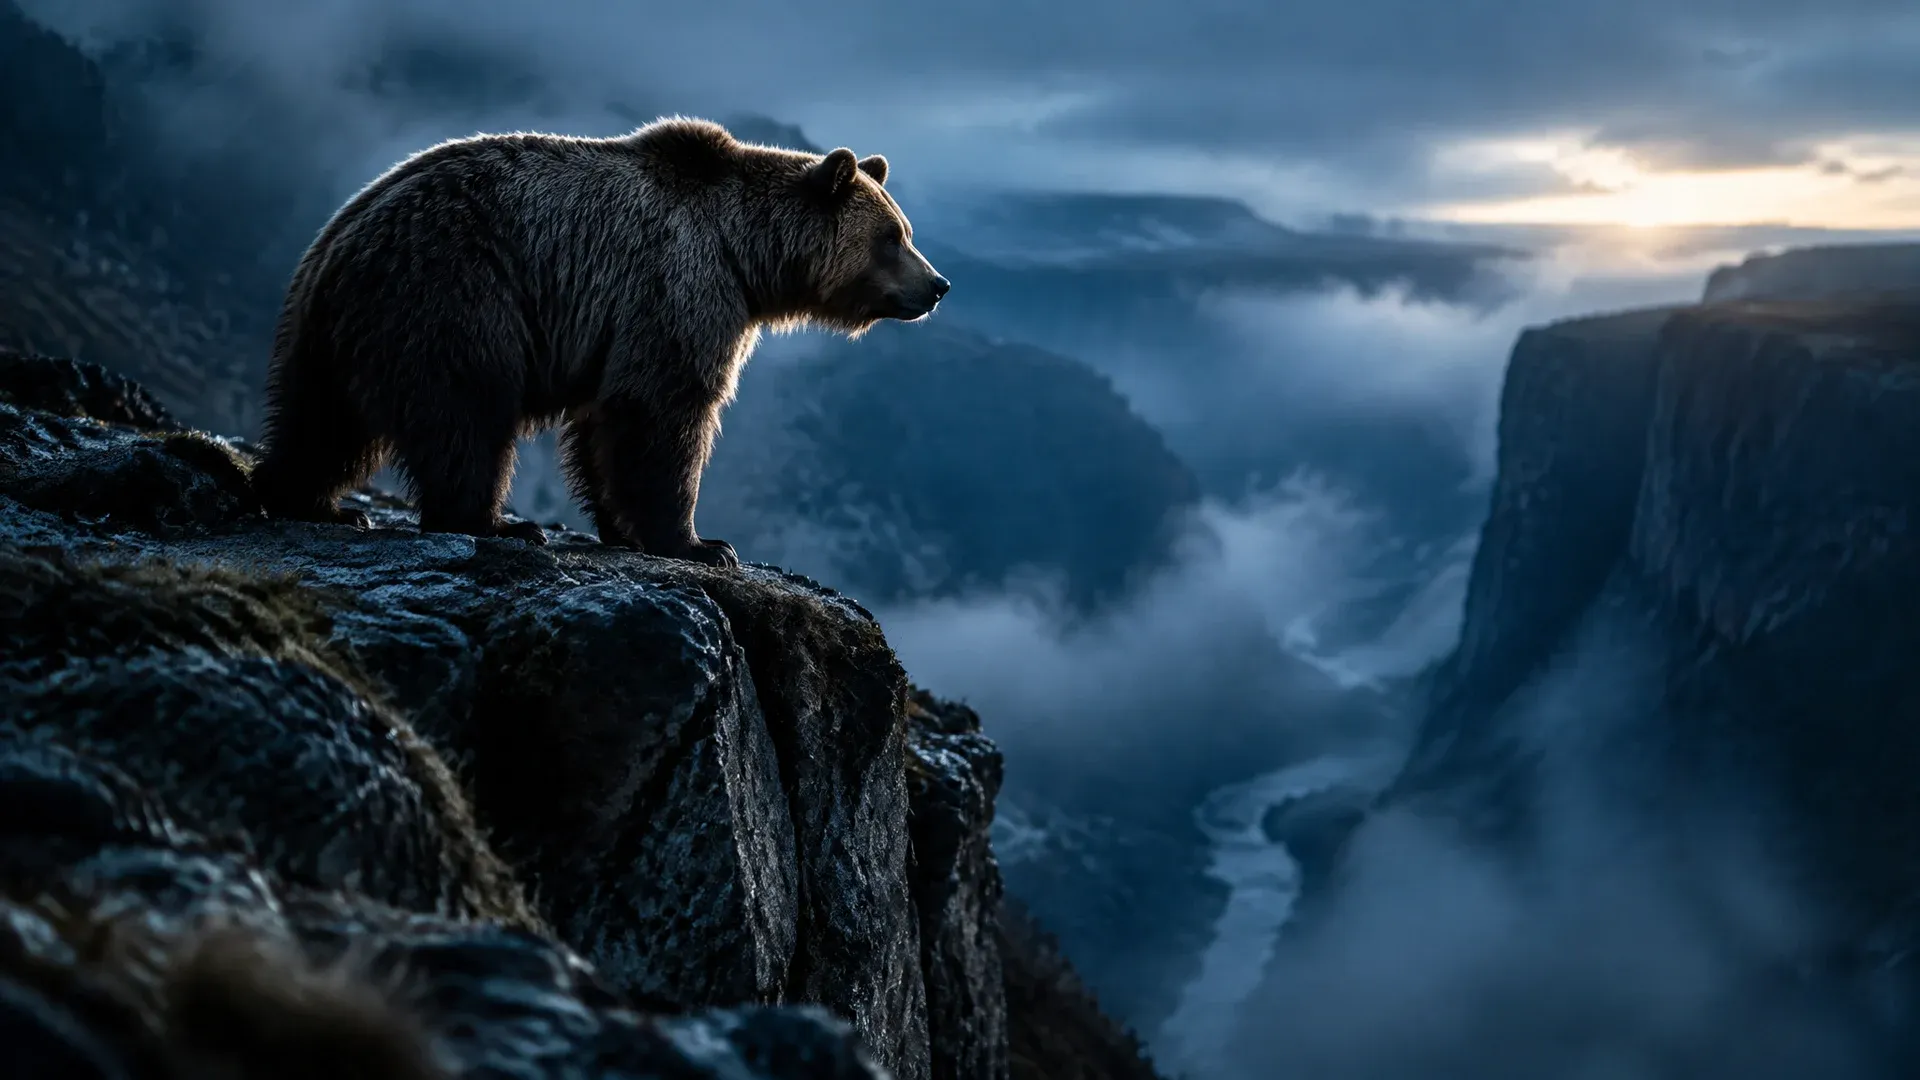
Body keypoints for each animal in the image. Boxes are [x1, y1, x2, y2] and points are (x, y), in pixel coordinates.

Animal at [249, 116, 949, 566]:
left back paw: (315, 502)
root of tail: (339, 245)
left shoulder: (616, 325)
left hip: (330, 333)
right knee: (465, 413)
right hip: (452, 294)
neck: (747, 256)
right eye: (892, 236)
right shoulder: (678, 283)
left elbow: (601, 424)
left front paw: (626, 529)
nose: (938, 284)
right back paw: (496, 524)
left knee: (322, 423)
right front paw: (701, 543)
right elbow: (663, 410)